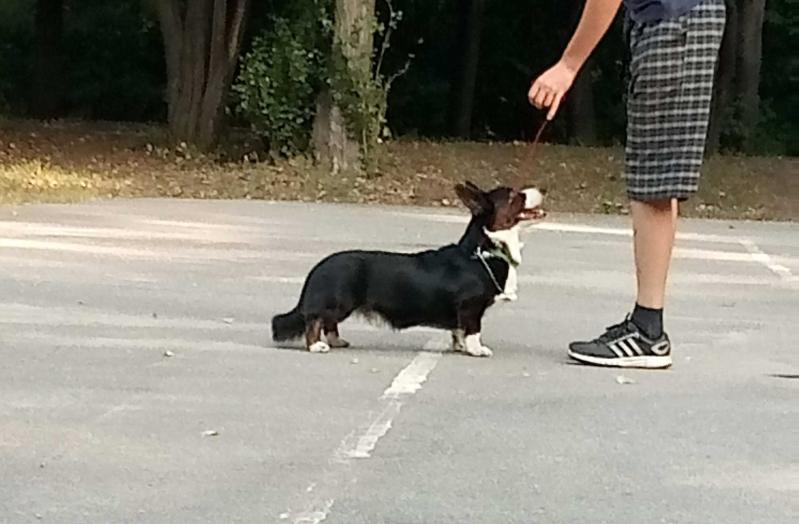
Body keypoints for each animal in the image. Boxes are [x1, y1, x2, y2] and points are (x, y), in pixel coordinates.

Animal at [274, 180, 544, 356]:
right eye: (513, 196)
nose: (543, 189)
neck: (483, 249)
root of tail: (318, 268)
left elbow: (457, 330)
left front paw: (458, 346)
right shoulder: (471, 307)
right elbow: (473, 330)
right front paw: (476, 349)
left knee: (328, 323)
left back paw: (337, 341)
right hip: (340, 302)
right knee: (315, 320)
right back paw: (316, 346)